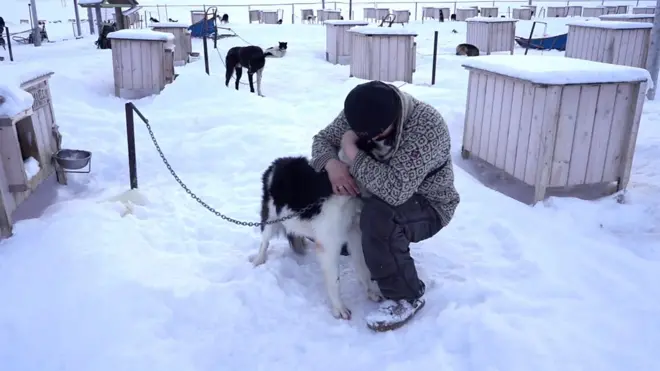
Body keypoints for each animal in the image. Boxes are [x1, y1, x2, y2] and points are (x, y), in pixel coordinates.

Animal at [251, 137, 398, 320]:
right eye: (370, 141)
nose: (391, 139)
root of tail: (278, 162)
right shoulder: (330, 244)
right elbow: (335, 280)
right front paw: (339, 308)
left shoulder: (354, 233)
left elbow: (362, 266)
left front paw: (371, 291)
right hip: (271, 218)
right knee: (264, 242)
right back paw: (258, 261)